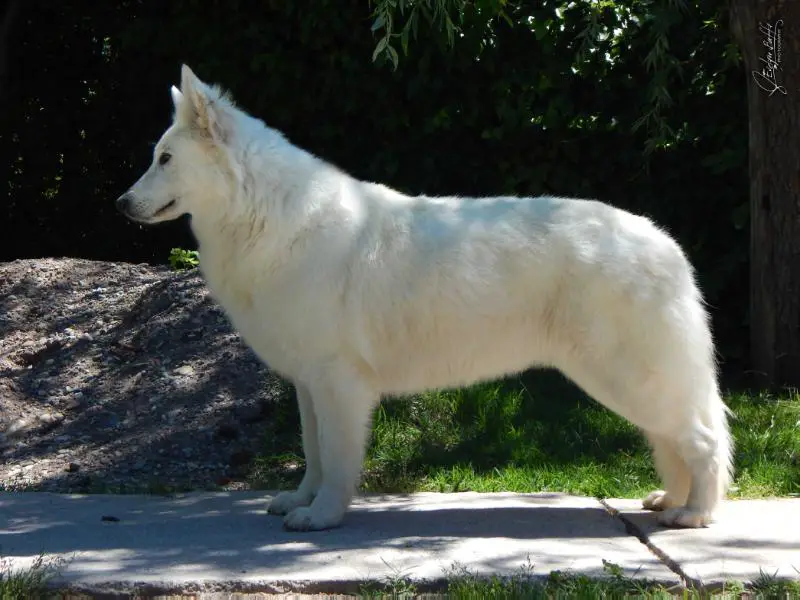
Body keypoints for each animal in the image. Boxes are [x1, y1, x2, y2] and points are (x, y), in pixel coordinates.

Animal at [117, 65, 733, 532]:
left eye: (165, 159)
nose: (122, 204)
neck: (262, 216)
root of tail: (665, 243)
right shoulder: (308, 385)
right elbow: (313, 452)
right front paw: (301, 501)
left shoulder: (338, 383)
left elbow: (336, 458)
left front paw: (322, 517)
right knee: (676, 440)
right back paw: (671, 500)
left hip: (624, 378)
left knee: (702, 441)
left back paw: (694, 515)